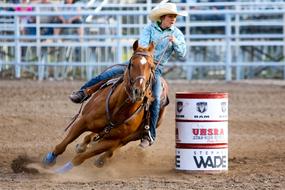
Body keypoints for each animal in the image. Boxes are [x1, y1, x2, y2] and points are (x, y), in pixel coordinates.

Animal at [42, 40, 169, 174]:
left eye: (152, 67)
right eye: (131, 64)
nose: (138, 91)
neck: (119, 109)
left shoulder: (112, 141)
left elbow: (80, 158)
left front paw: (60, 172)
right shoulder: (83, 122)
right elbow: (62, 145)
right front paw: (49, 159)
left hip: (131, 137)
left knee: (112, 148)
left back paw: (100, 160)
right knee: (91, 137)